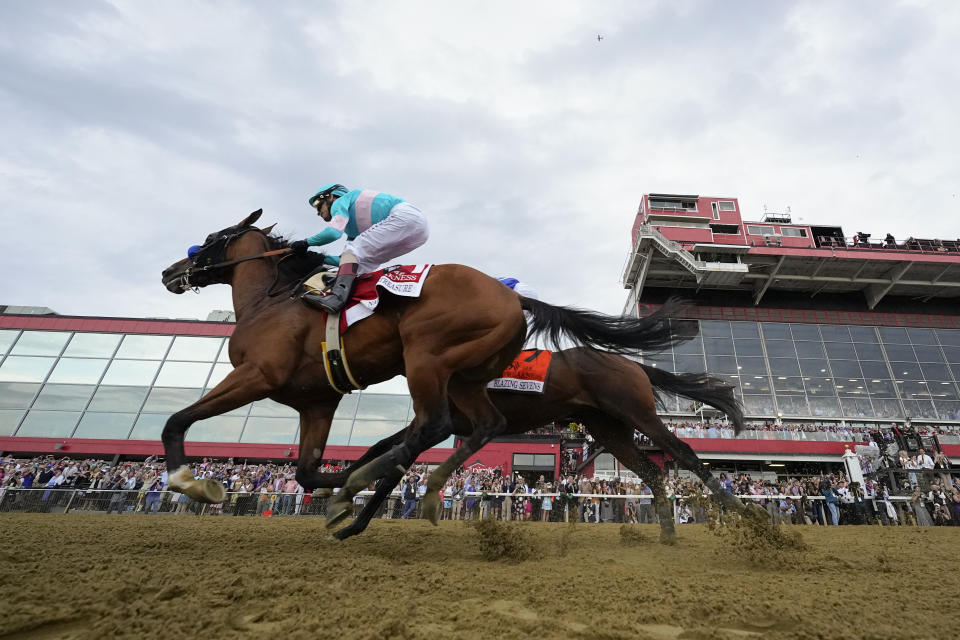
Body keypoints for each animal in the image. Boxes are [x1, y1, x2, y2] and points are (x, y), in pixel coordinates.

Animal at [161, 212, 692, 508]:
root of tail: (509, 296)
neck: (271, 303)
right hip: (465, 377)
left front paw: (191, 482)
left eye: (212, 237)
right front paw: (345, 482)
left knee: (435, 424)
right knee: (463, 425)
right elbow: (308, 472)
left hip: (426, 357)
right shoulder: (317, 403)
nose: (171, 271)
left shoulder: (256, 374)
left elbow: (175, 421)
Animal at [312, 344, 752, 540]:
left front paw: (346, 514)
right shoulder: (431, 422)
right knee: (653, 473)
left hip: (637, 415)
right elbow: (381, 454)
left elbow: (391, 466)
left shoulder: (437, 421)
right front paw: (338, 495)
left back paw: (748, 515)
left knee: (683, 453)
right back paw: (667, 531)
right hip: (612, 431)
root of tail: (631, 363)